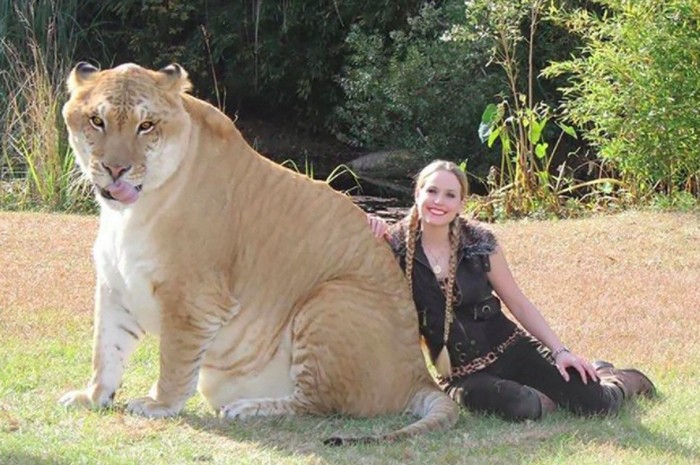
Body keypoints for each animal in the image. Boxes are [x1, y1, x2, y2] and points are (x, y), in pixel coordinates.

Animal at [59, 62, 459, 444]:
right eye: (97, 120)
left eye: (146, 125)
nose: (115, 169)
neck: (128, 214)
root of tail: (418, 373)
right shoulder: (115, 287)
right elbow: (106, 350)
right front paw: (92, 397)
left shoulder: (193, 298)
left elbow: (174, 359)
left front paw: (159, 404)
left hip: (330, 300)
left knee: (316, 403)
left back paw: (248, 408)